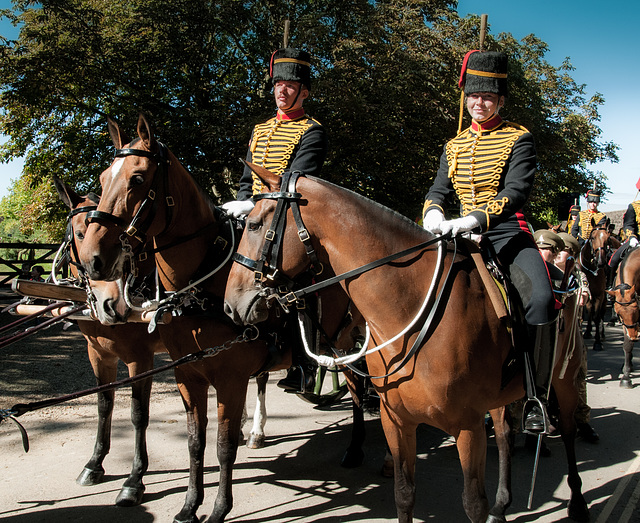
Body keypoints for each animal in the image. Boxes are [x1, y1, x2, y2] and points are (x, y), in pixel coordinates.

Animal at [52, 177, 166, 508]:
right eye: (79, 234)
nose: (111, 303)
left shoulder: (141, 360)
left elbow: (138, 415)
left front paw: (134, 480)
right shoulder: (98, 355)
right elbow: (104, 405)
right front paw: (94, 464)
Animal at [77, 114, 370, 523]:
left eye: (136, 178)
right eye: (104, 179)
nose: (93, 259)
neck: (202, 283)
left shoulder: (229, 379)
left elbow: (222, 445)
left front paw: (217, 509)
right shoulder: (187, 375)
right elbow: (196, 442)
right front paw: (189, 506)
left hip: (344, 341)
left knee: (357, 387)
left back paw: (356, 446)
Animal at [225, 168, 592, 523]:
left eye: (254, 225)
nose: (230, 305)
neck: (408, 310)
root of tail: (563, 274)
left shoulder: (468, 425)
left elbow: (473, 504)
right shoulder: (397, 420)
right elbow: (403, 494)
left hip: (564, 378)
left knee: (568, 430)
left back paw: (575, 500)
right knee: (504, 434)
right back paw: (503, 506)